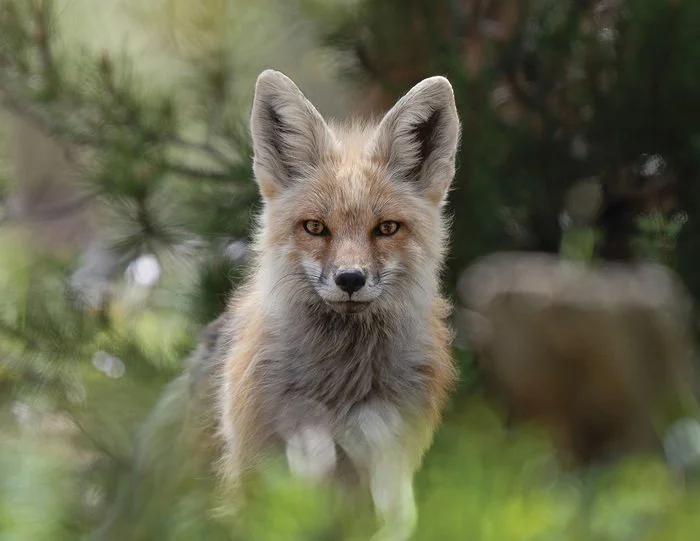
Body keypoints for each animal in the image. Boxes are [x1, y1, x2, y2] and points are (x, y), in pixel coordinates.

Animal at [96, 70, 461, 541]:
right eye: (315, 227)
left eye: (386, 228)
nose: (350, 279)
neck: (339, 385)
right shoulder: (266, 464)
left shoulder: (384, 457)